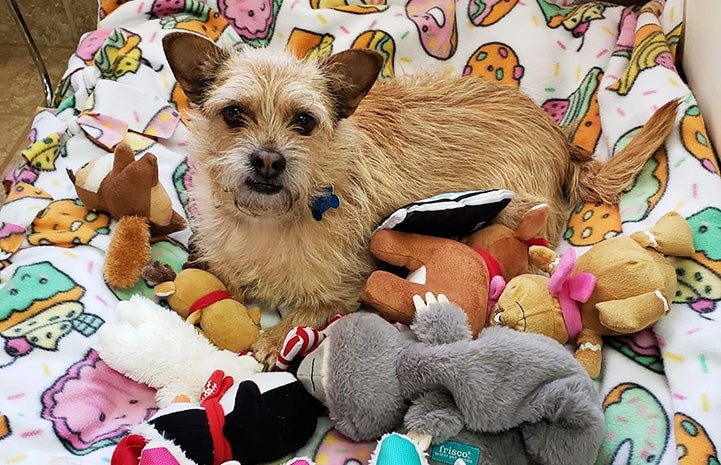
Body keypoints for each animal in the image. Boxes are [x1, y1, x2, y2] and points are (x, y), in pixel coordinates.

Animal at [162, 31, 676, 366]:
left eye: (304, 122)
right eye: (233, 114)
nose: (268, 160)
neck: (269, 221)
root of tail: (563, 141)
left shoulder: (349, 284)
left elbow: (311, 308)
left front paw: (274, 339)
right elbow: (218, 275)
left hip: (513, 213)